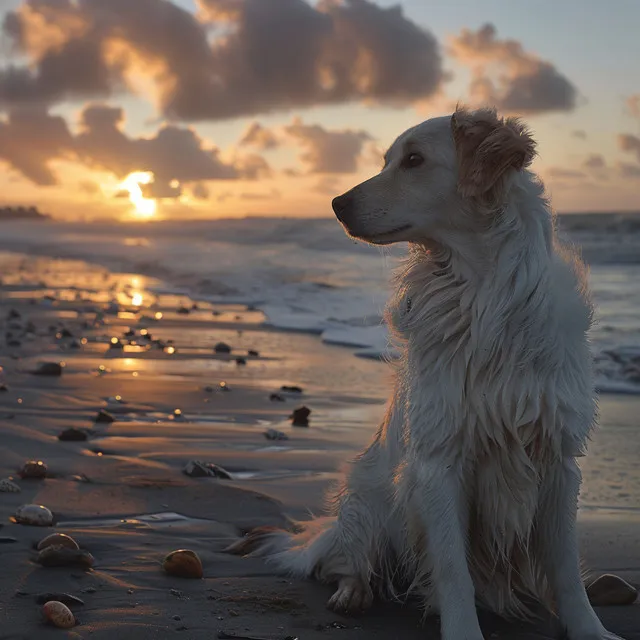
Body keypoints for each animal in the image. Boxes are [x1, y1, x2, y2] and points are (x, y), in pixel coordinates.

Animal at [228, 109, 624, 640]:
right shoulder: (438, 460)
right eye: (387, 159)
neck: (479, 294)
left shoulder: (558, 455)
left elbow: (564, 567)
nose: (336, 204)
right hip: (368, 501)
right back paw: (352, 593)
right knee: (345, 561)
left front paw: (591, 629)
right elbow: (453, 570)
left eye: (414, 160)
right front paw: (462, 631)